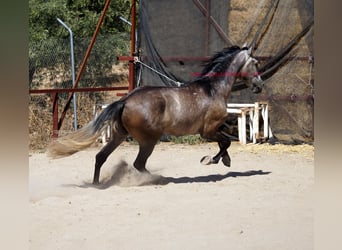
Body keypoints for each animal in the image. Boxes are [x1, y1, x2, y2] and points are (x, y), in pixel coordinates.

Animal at [47, 45, 262, 184]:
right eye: (256, 63)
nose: (259, 85)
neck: (213, 89)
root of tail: (126, 100)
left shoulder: (214, 128)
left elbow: (225, 140)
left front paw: (224, 160)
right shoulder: (208, 131)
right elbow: (225, 142)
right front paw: (211, 160)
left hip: (119, 135)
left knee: (101, 157)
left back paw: (97, 184)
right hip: (149, 140)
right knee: (138, 163)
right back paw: (159, 179)